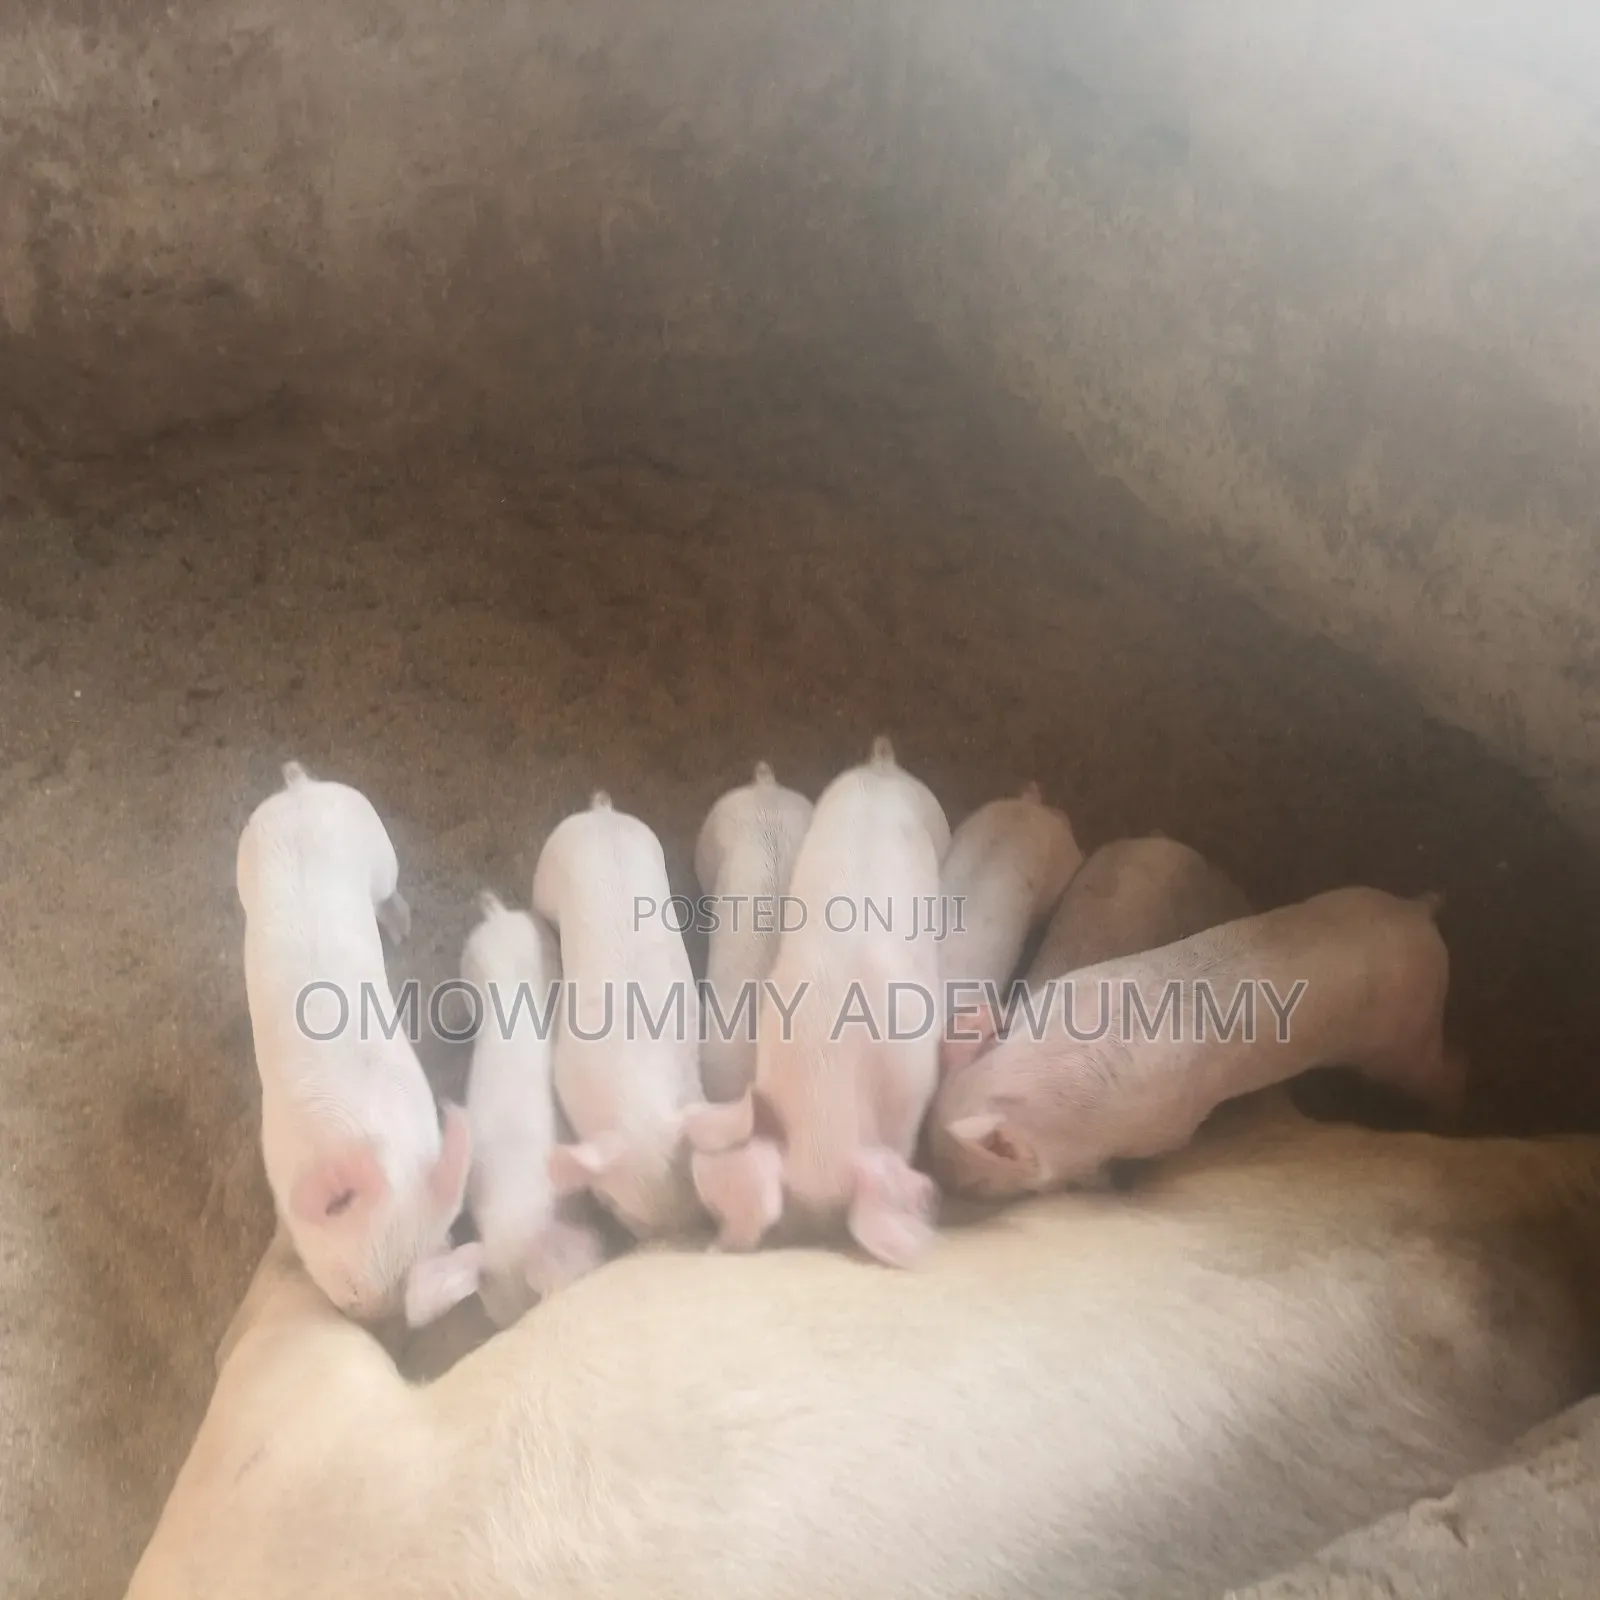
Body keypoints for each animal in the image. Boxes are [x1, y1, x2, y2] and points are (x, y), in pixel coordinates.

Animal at [234, 760, 478, 1327]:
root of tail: (301, 790)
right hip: (251, 852)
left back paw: (402, 928)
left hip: (376, 845)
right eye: (348, 1287)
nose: (378, 1317)